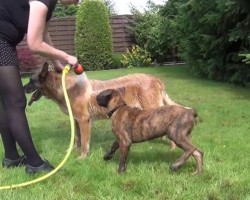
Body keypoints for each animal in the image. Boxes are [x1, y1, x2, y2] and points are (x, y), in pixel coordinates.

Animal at [23, 62, 184, 159]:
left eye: (31, 81)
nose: (23, 88)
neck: (65, 88)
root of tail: (156, 79)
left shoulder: (84, 121)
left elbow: (84, 142)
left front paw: (82, 157)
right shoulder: (76, 121)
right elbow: (77, 139)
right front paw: (72, 152)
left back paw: (172, 148)